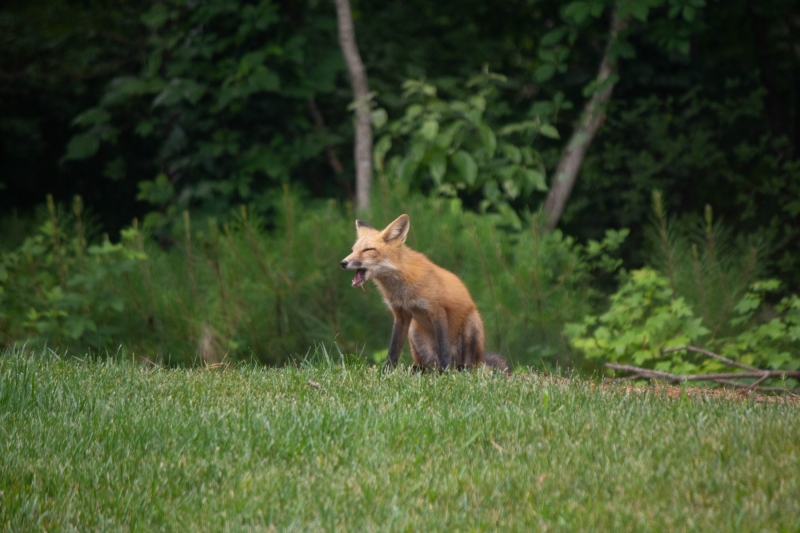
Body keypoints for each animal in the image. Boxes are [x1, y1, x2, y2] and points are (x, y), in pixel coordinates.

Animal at [340, 214, 510, 374]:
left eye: (368, 250)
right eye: (353, 250)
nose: (343, 263)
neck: (402, 289)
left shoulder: (437, 310)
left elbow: (443, 349)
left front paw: (446, 374)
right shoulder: (401, 314)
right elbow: (393, 350)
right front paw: (387, 372)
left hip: (471, 326)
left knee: (468, 366)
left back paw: (457, 371)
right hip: (414, 331)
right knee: (425, 366)